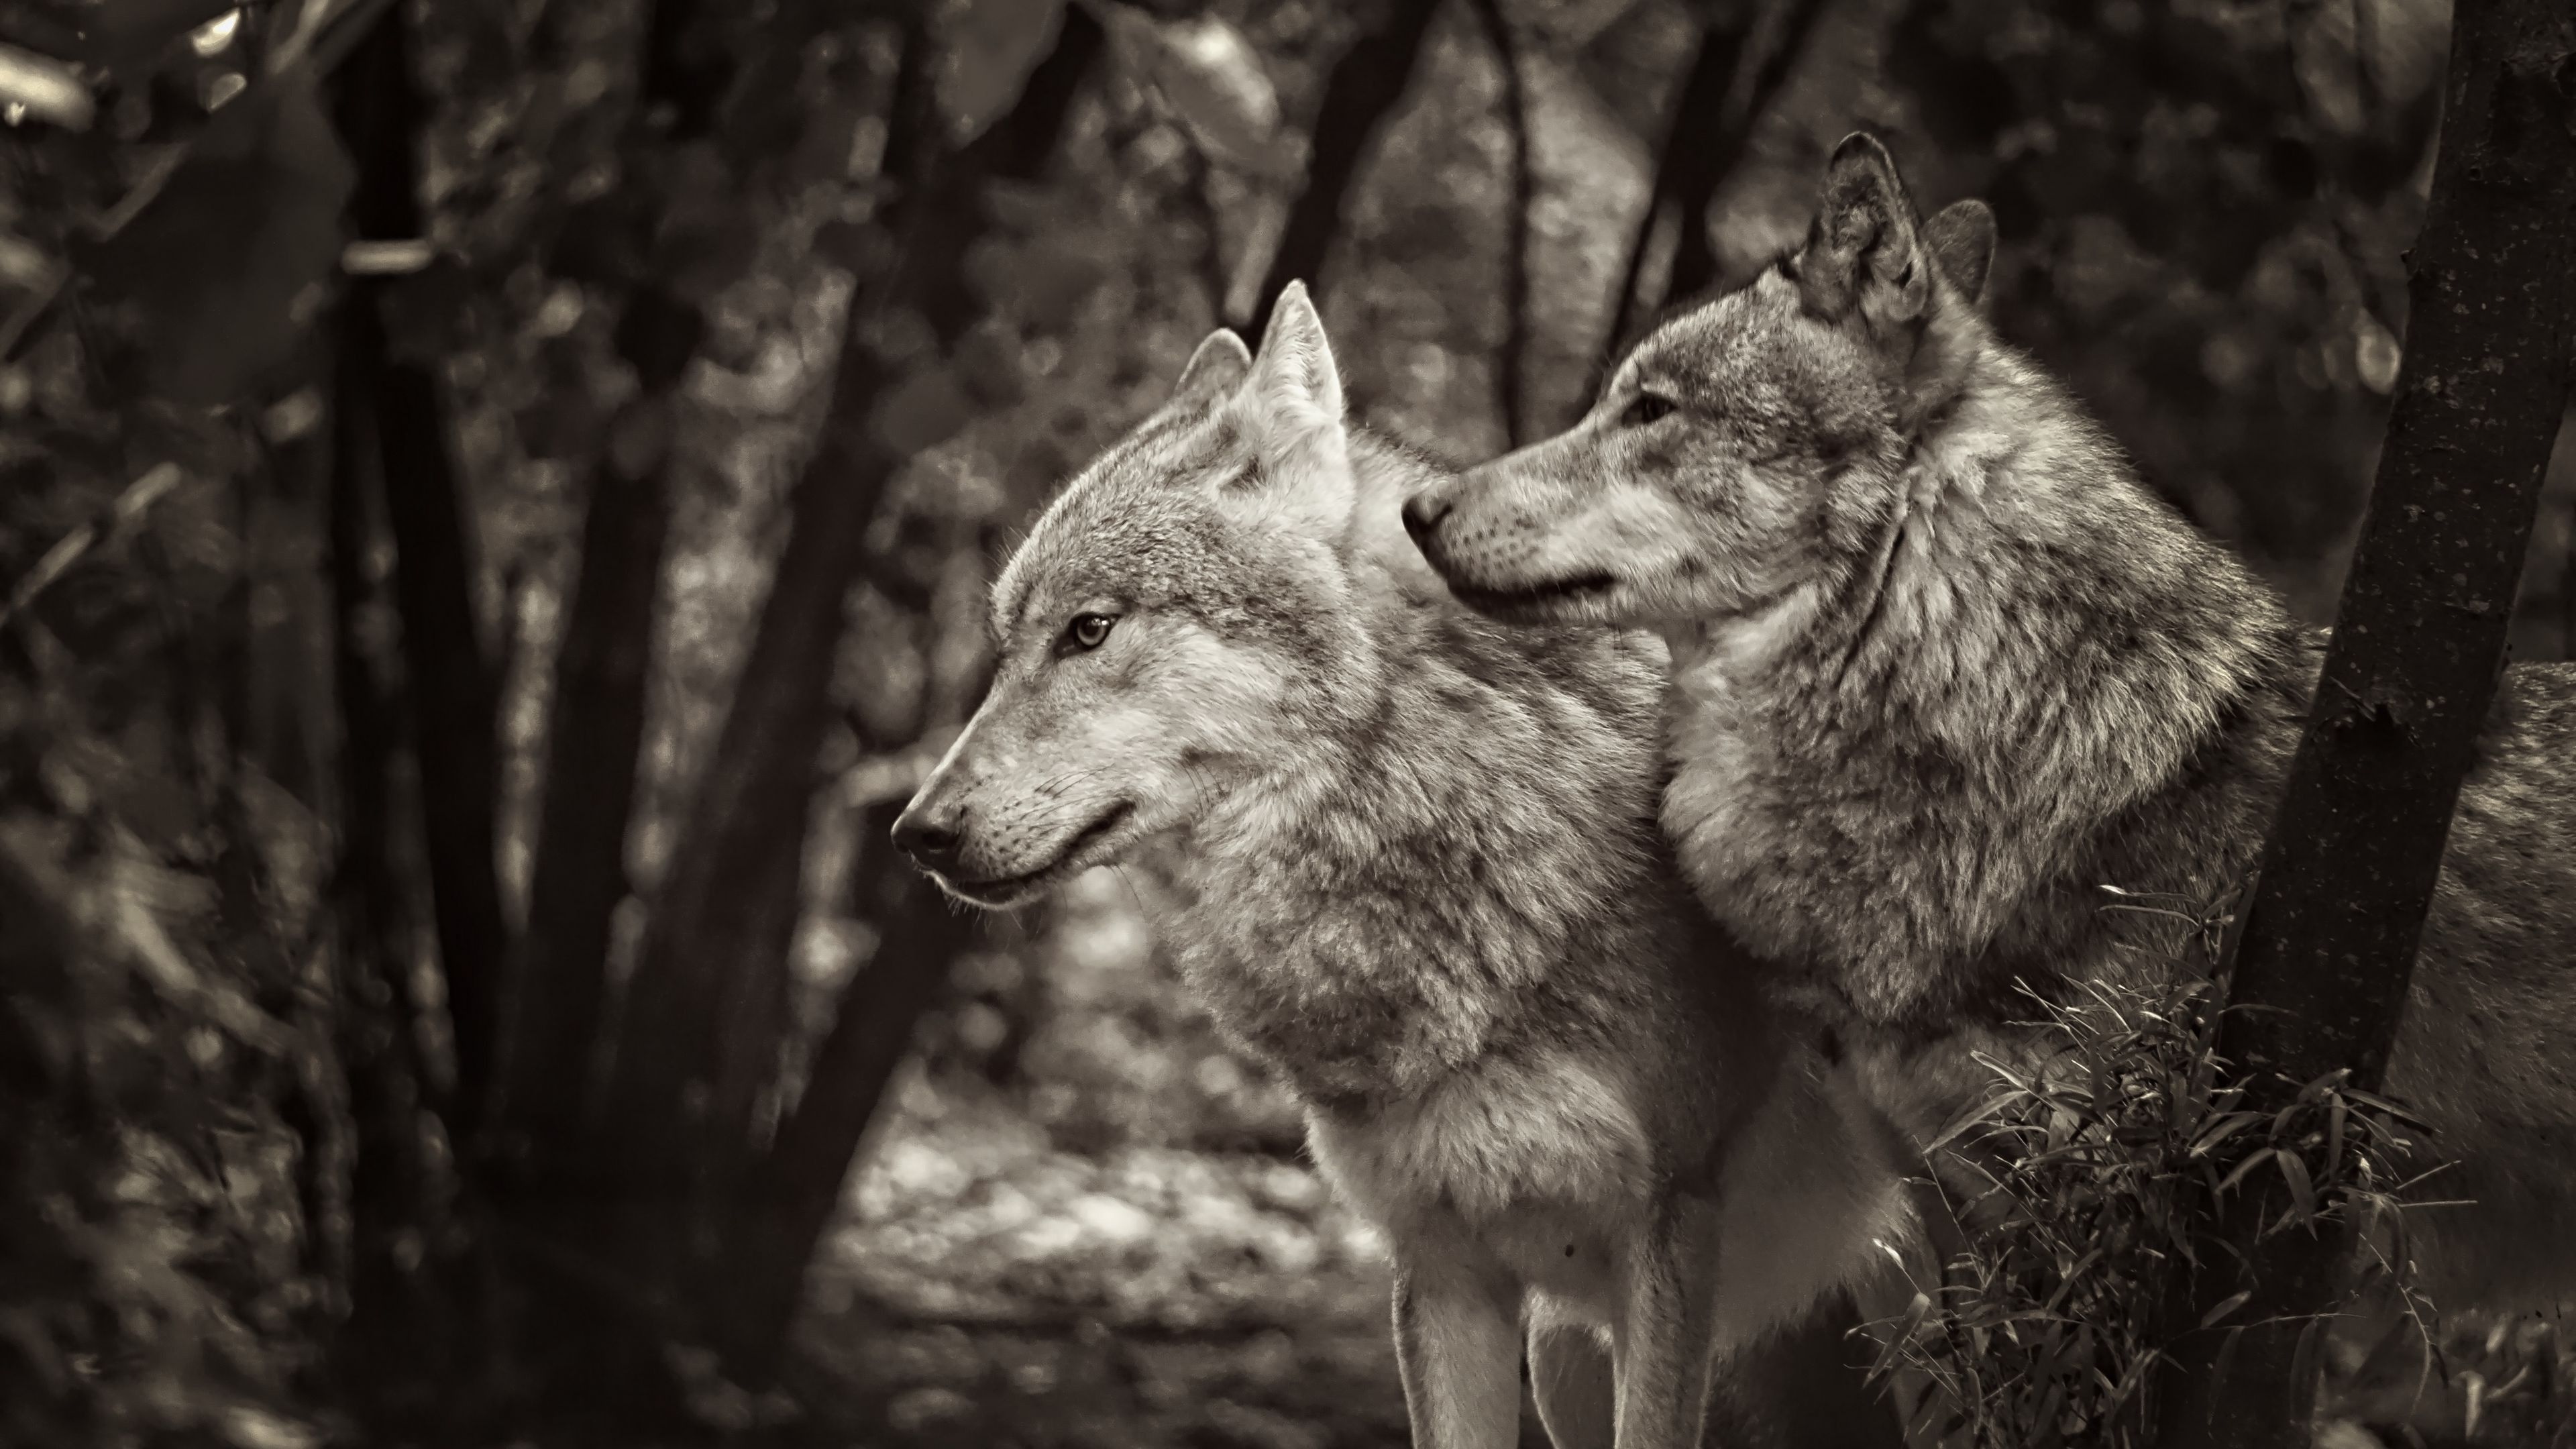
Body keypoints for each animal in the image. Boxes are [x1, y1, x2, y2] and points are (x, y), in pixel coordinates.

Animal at [891, 282, 1916, 1447]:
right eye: (1006, 645)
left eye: (1091, 630)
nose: (915, 832)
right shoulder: (1442, 1267)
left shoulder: (1669, 1233)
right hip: (1573, 1357)